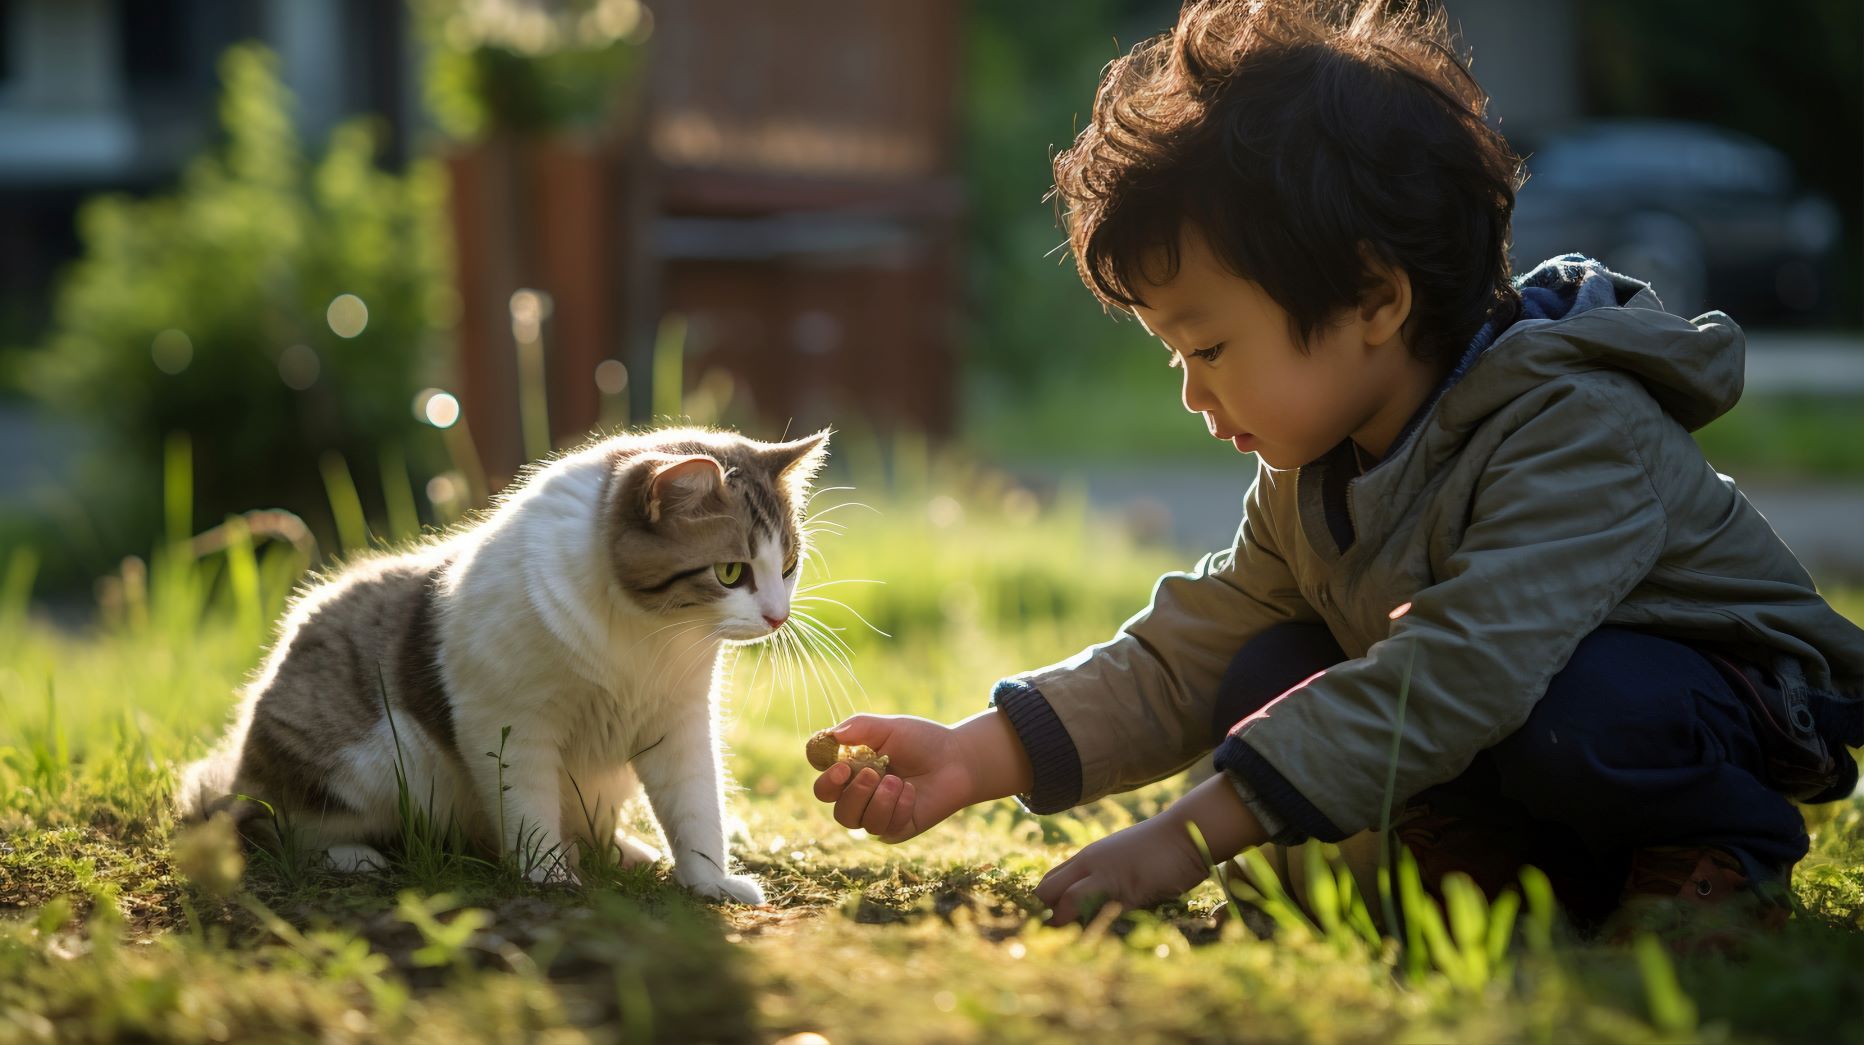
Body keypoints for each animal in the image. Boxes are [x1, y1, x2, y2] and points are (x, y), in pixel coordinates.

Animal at [175, 428, 831, 901]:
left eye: (789, 565)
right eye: (730, 572)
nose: (778, 616)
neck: (646, 633)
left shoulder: (679, 724)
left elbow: (696, 809)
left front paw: (709, 882)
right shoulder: (509, 723)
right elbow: (528, 810)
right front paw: (548, 876)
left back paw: (625, 852)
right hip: (362, 767)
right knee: (268, 825)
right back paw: (353, 856)